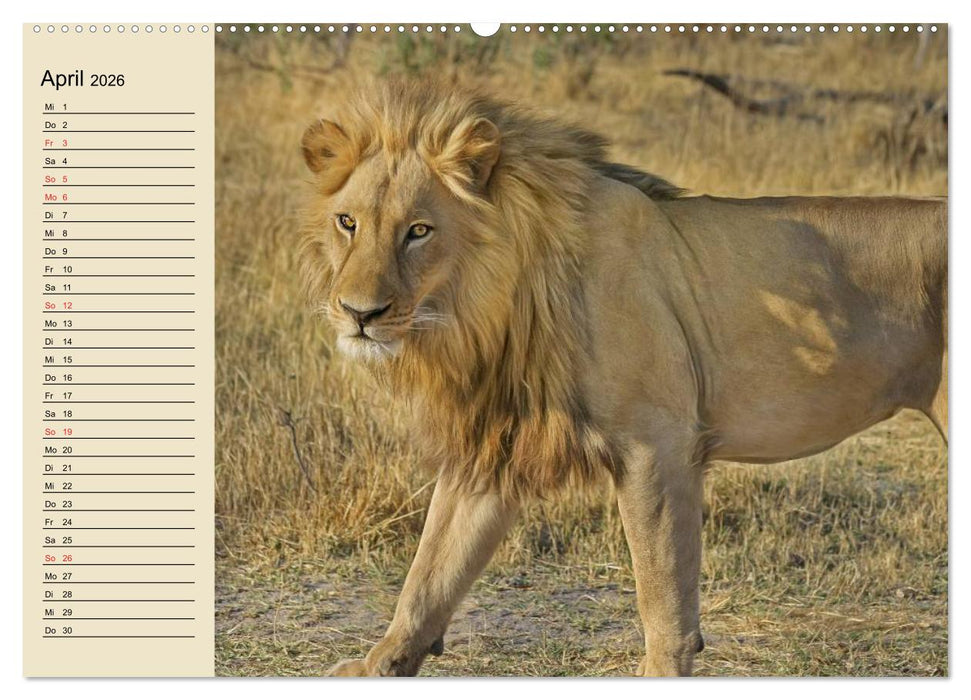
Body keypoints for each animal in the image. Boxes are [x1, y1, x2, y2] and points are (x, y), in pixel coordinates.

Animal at [298, 79, 947, 677]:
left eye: (419, 231)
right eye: (347, 222)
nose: (359, 313)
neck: (488, 308)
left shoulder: (655, 445)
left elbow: (662, 596)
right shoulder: (494, 443)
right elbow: (431, 570)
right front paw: (378, 664)